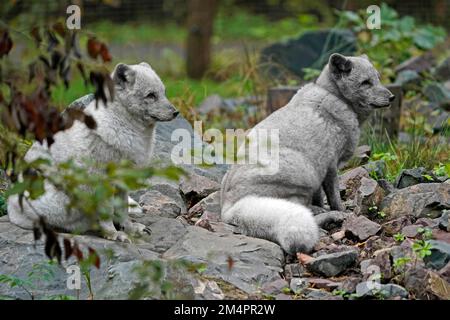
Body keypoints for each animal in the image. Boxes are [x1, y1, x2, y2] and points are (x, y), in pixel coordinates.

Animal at [7, 62, 178, 242]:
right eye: (151, 95)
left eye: (164, 92)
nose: (176, 112)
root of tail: (10, 210)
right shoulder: (103, 181)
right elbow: (107, 212)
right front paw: (114, 234)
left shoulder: (123, 181)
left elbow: (123, 209)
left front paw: (130, 229)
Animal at [221, 53, 394, 254]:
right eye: (365, 83)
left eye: (378, 78)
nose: (392, 97)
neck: (336, 97)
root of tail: (229, 209)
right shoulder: (330, 165)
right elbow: (334, 196)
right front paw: (342, 211)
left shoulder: (321, 167)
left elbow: (320, 197)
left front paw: (323, 206)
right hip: (303, 174)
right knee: (304, 211)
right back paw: (330, 217)